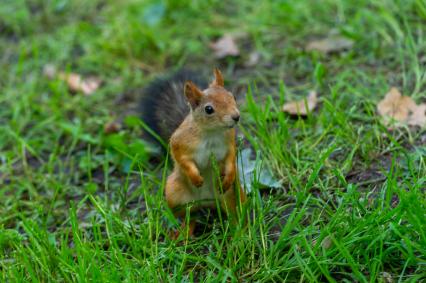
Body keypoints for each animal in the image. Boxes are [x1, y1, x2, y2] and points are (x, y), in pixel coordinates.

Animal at [140, 68, 246, 237]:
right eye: (208, 109)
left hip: (233, 195)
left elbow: (230, 158)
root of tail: (208, 202)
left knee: (234, 213)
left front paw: (229, 175)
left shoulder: (229, 142)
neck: (211, 133)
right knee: (190, 216)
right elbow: (181, 159)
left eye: (232, 96)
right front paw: (196, 178)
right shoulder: (179, 142)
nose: (236, 117)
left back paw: (240, 231)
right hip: (175, 195)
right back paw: (182, 234)